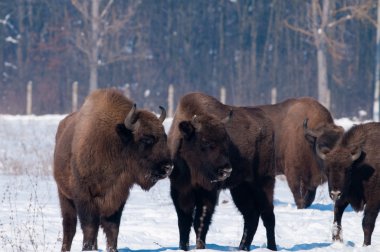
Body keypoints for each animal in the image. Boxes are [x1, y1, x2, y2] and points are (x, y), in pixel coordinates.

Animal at [53, 89, 172, 252]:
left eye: (165, 137)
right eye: (146, 139)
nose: (168, 167)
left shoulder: (117, 197)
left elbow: (112, 229)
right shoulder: (85, 197)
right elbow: (89, 228)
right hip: (64, 195)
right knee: (69, 226)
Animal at [169, 92, 276, 250]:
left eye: (226, 141)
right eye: (205, 142)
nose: (226, 169)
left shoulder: (208, 192)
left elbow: (201, 222)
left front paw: (200, 247)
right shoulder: (180, 190)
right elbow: (184, 222)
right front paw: (183, 247)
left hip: (263, 183)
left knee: (268, 216)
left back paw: (271, 248)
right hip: (240, 188)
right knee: (251, 216)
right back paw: (242, 248)